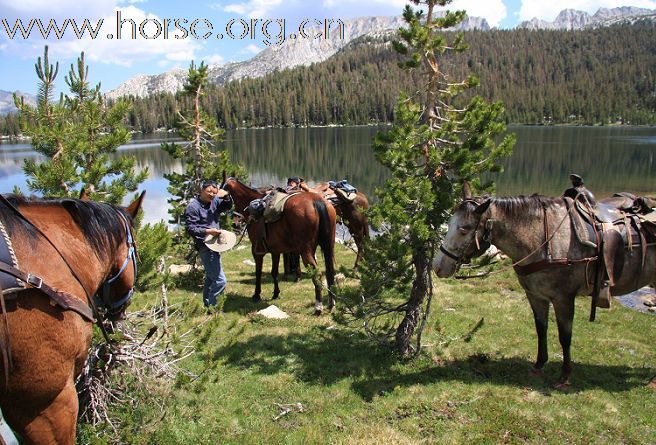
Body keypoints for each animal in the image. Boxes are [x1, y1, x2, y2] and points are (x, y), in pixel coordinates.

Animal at [222, 173, 336, 312]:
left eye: (223, 193)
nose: (235, 224)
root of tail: (316, 201)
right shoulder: (275, 251)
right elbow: (274, 272)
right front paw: (276, 293)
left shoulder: (257, 250)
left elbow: (258, 272)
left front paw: (256, 295)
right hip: (326, 246)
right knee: (330, 272)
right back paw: (331, 303)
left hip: (306, 251)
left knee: (317, 274)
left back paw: (318, 307)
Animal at [434, 189, 652, 386]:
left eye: (464, 228)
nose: (438, 267)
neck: (542, 239)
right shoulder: (536, 295)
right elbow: (541, 328)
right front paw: (539, 365)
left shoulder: (564, 298)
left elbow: (565, 336)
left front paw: (564, 376)